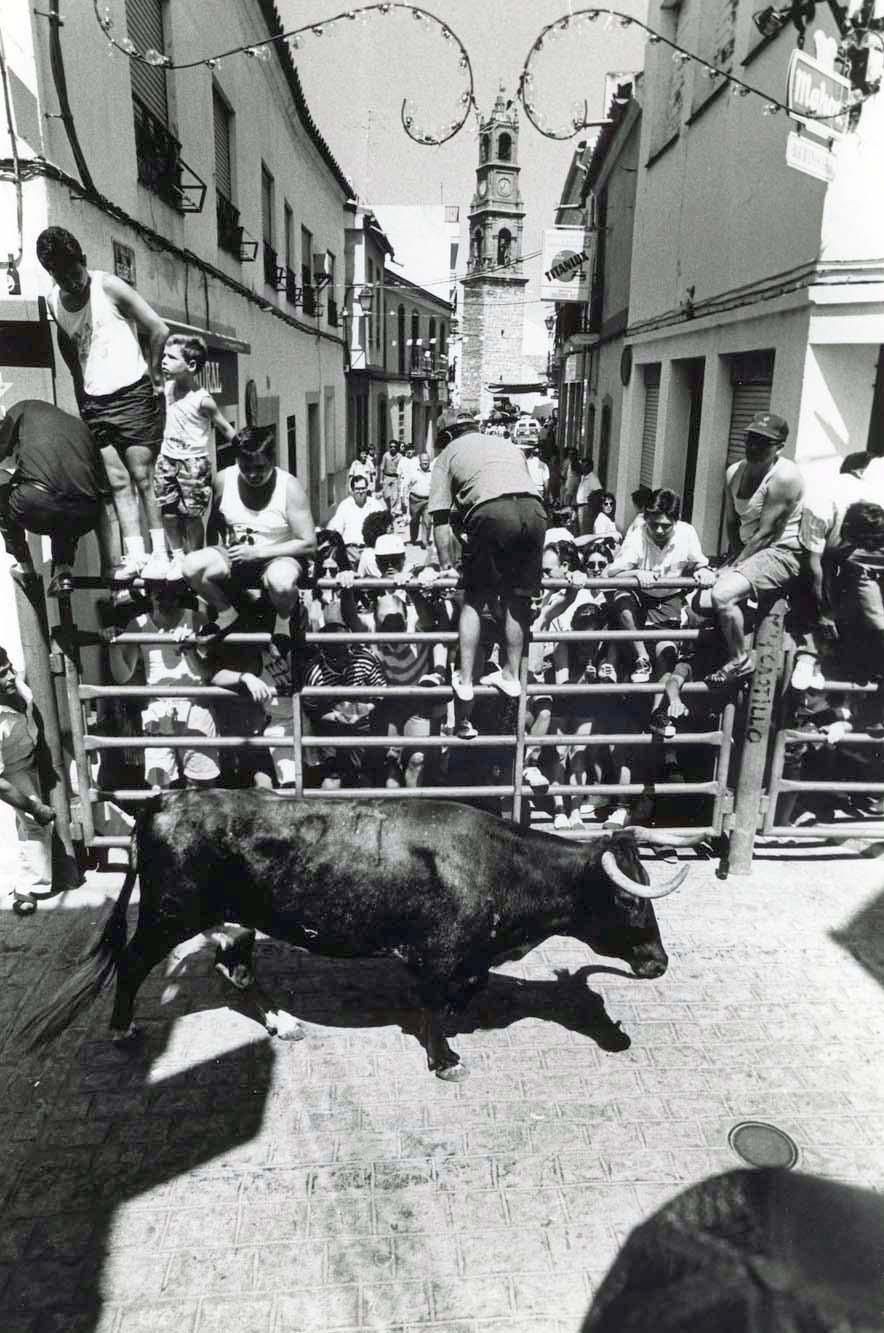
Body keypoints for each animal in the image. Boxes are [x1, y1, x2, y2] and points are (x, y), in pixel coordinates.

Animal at [20, 794, 698, 1077]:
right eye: (629, 903)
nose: (658, 963)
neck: (497, 863)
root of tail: (161, 802)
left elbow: (467, 990)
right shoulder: (436, 955)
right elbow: (434, 1004)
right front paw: (445, 1059)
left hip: (231, 917)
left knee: (236, 967)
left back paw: (283, 1022)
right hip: (168, 914)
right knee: (135, 962)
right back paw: (121, 1028)